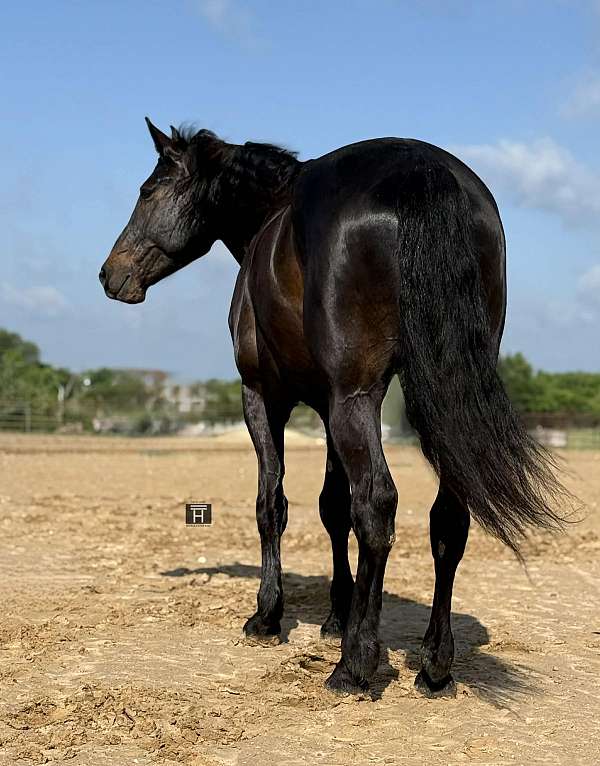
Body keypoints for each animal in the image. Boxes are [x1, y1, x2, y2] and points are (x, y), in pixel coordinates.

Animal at [99, 118, 566, 696]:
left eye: (148, 191)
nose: (110, 274)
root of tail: (421, 171)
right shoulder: (325, 406)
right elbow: (331, 506)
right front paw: (336, 616)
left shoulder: (265, 397)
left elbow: (273, 503)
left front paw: (268, 617)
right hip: (426, 402)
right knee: (447, 519)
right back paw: (434, 664)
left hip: (355, 399)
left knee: (378, 504)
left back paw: (355, 664)